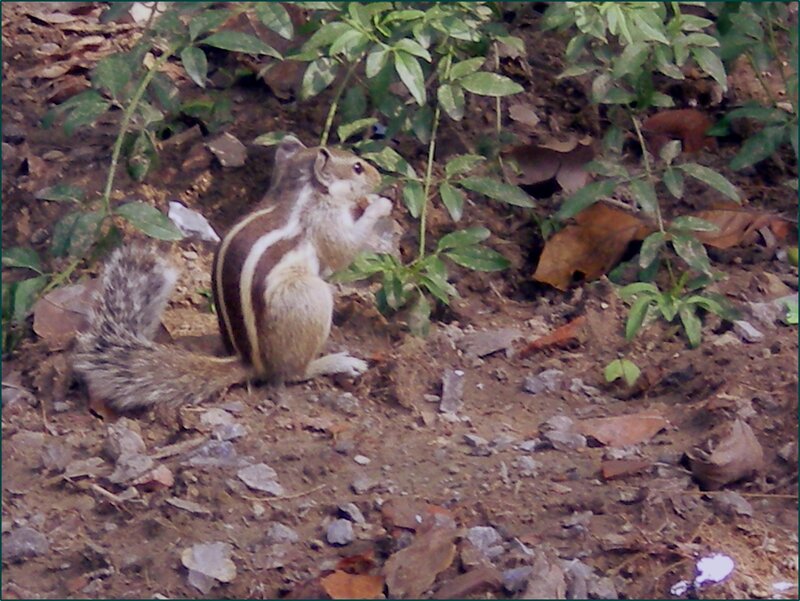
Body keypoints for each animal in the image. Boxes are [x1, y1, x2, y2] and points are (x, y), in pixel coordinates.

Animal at [73, 136, 392, 411]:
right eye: (357, 167)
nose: (379, 177)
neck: (297, 189)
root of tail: (250, 362)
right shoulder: (324, 222)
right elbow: (343, 249)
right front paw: (379, 204)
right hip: (308, 299)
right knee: (292, 373)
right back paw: (334, 362)